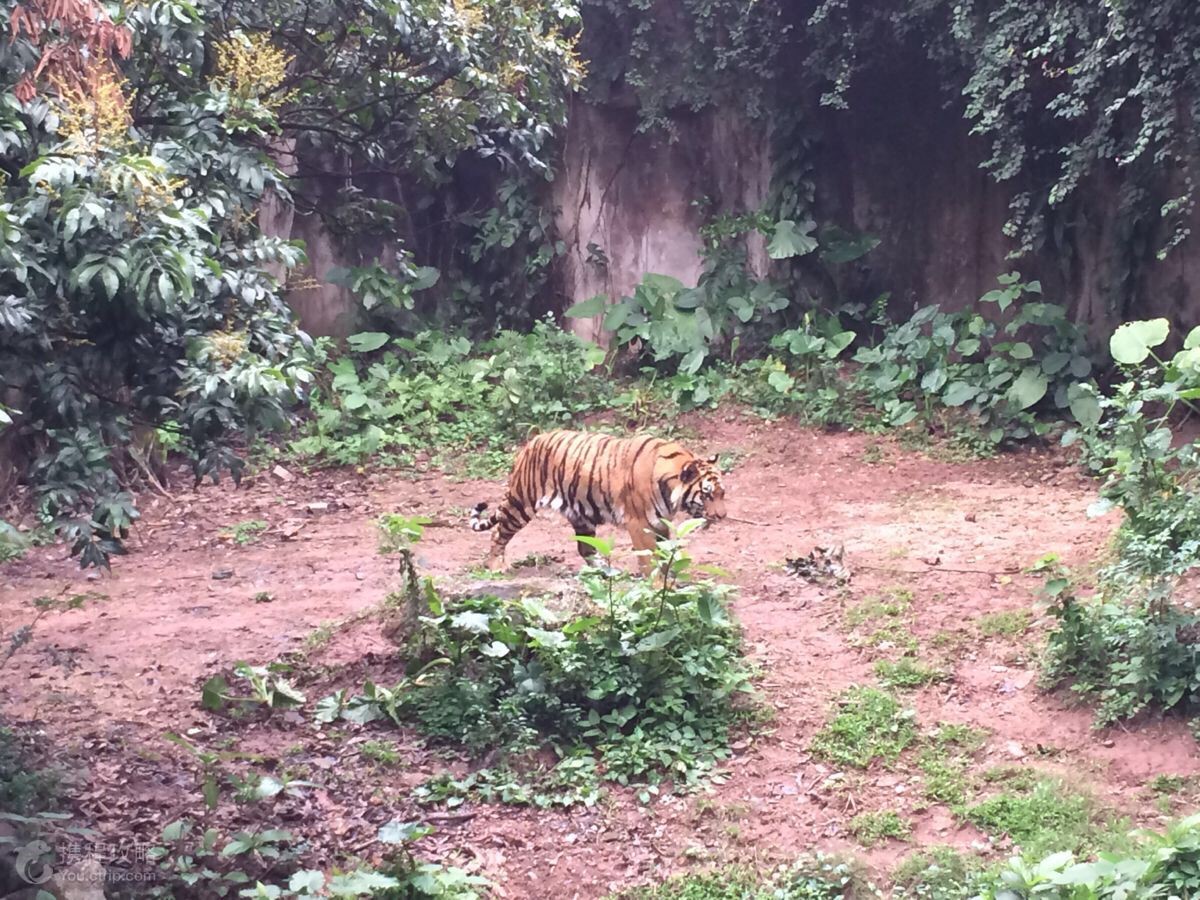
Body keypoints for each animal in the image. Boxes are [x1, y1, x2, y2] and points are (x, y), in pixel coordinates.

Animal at [472, 429, 724, 571]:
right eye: (707, 493)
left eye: (722, 493)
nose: (722, 516)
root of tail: (531, 443)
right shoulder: (639, 524)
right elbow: (648, 557)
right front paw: (653, 584)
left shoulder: (660, 523)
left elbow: (663, 554)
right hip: (521, 502)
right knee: (499, 533)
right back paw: (496, 567)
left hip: (580, 514)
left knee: (585, 548)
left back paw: (604, 572)